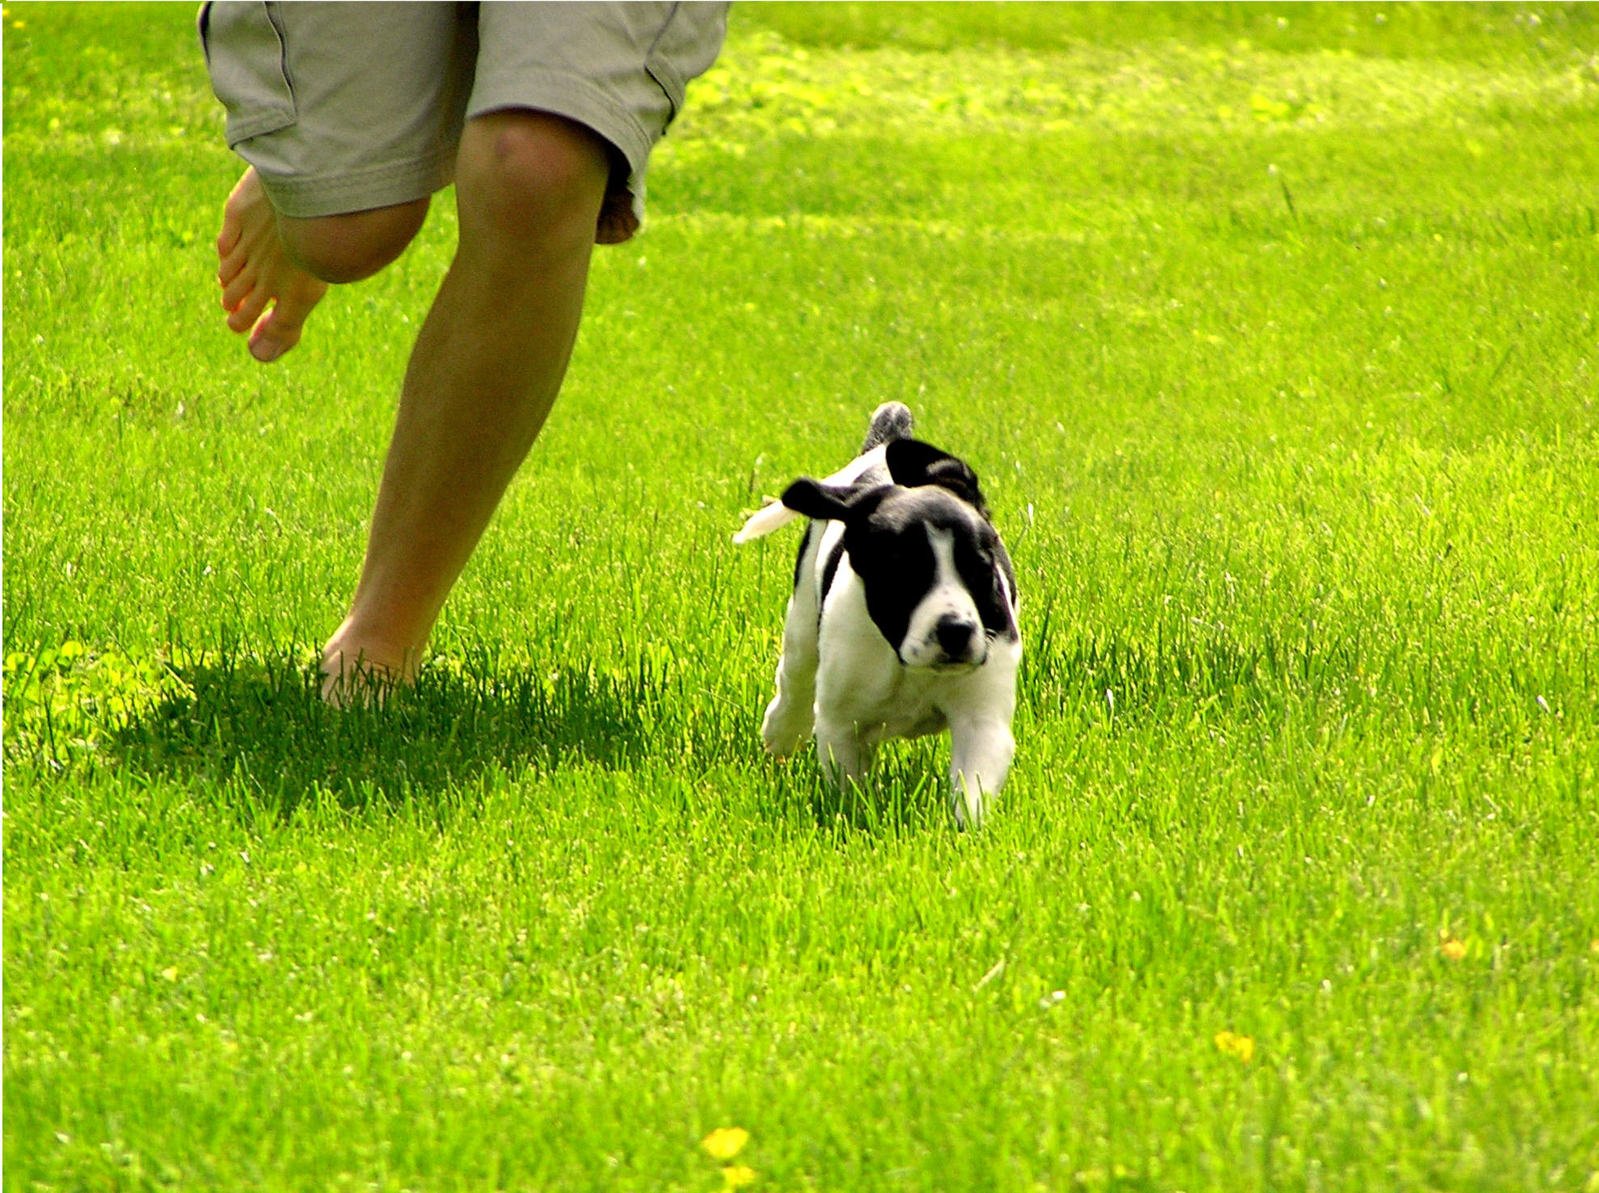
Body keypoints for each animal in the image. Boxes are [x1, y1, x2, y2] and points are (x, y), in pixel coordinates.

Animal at [735, 404, 1023, 825]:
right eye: (902, 575)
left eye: (980, 570)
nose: (956, 630)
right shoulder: (842, 725)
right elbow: (850, 789)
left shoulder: (982, 718)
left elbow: (972, 790)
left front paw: (964, 832)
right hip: (803, 623)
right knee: (795, 679)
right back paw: (782, 730)